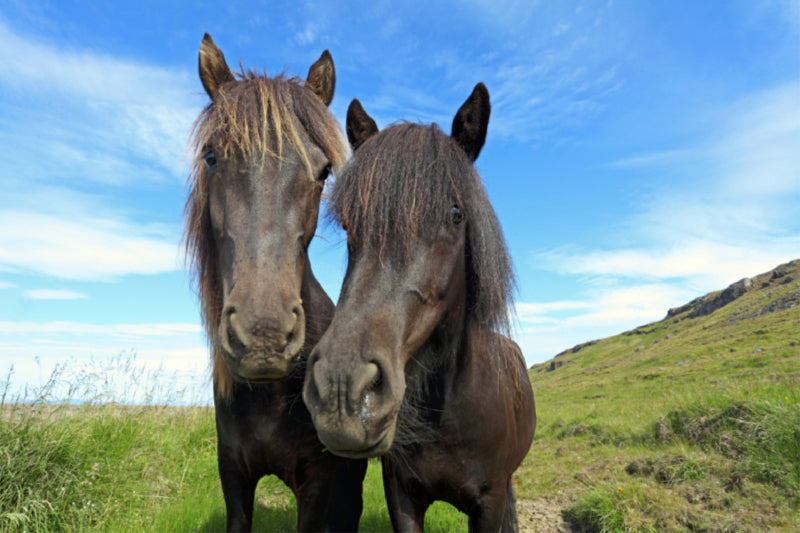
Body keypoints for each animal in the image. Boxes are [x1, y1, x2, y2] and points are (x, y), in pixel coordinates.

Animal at [304, 81, 536, 528]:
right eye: (349, 224)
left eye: (456, 215)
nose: (341, 388)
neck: (446, 414)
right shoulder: (402, 498)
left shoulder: (490, 502)